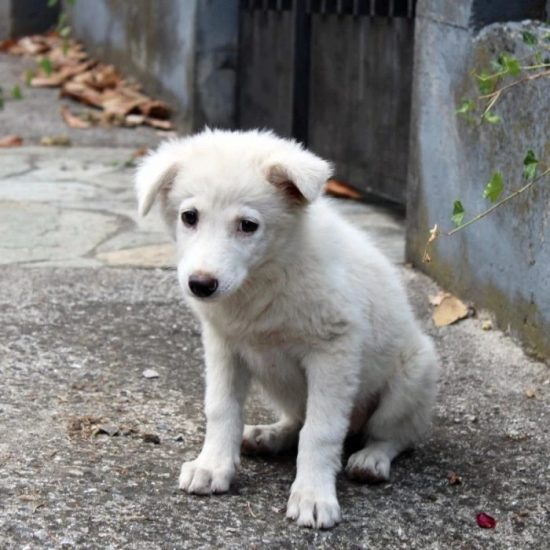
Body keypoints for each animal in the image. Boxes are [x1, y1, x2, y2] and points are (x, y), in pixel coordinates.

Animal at [137, 128, 440, 532]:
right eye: (189, 217)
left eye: (248, 225)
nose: (201, 285)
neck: (265, 276)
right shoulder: (224, 345)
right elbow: (221, 408)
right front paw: (212, 465)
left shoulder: (334, 350)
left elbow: (321, 430)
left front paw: (312, 495)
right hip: (281, 385)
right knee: (297, 419)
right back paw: (269, 435)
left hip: (413, 375)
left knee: (395, 434)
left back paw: (371, 459)